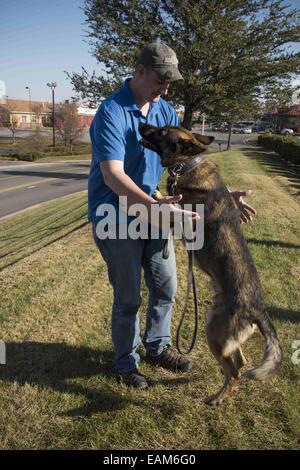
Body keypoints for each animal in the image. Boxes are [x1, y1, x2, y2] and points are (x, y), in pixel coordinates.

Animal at [139, 123, 282, 406]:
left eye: (162, 132)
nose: (141, 124)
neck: (187, 165)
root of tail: (259, 310)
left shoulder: (183, 221)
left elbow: (169, 203)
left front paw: (160, 194)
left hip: (212, 333)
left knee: (235, 371)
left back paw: (216, 399)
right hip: (220, 332)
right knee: (241, 362)